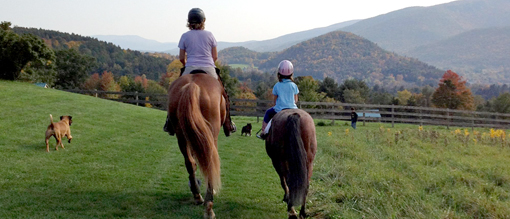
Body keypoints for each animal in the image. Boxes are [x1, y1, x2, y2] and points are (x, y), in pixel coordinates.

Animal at [165, 73, 227, 219]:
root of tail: (192, 85)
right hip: (211, 135)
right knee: (210, 164)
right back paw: (209, 207)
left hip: (181, 135)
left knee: (190, 163)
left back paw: (198, 196)